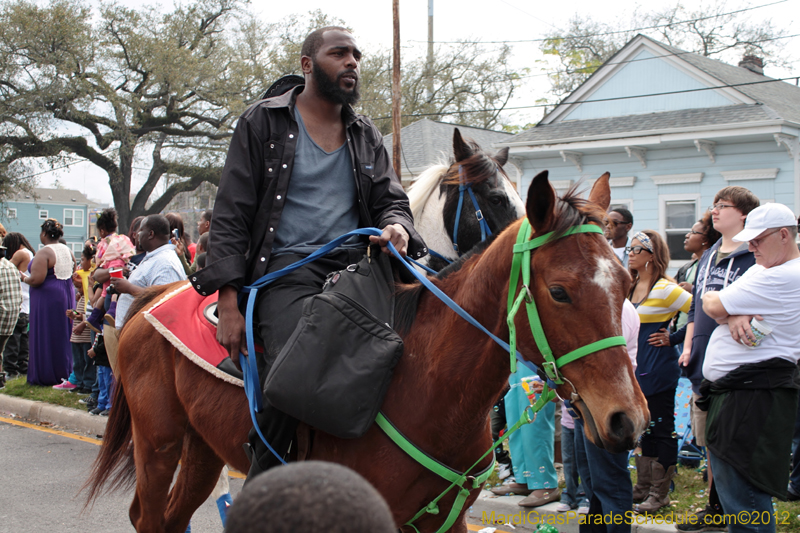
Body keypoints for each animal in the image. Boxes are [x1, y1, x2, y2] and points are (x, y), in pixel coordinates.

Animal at [86, 170, 648, 532]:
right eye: (559, 291)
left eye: (626, 283)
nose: (629, 418)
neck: (427, 383)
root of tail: (157, 294)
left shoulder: (443, 521)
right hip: (158, 444)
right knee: (149, 517)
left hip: (201, 447)